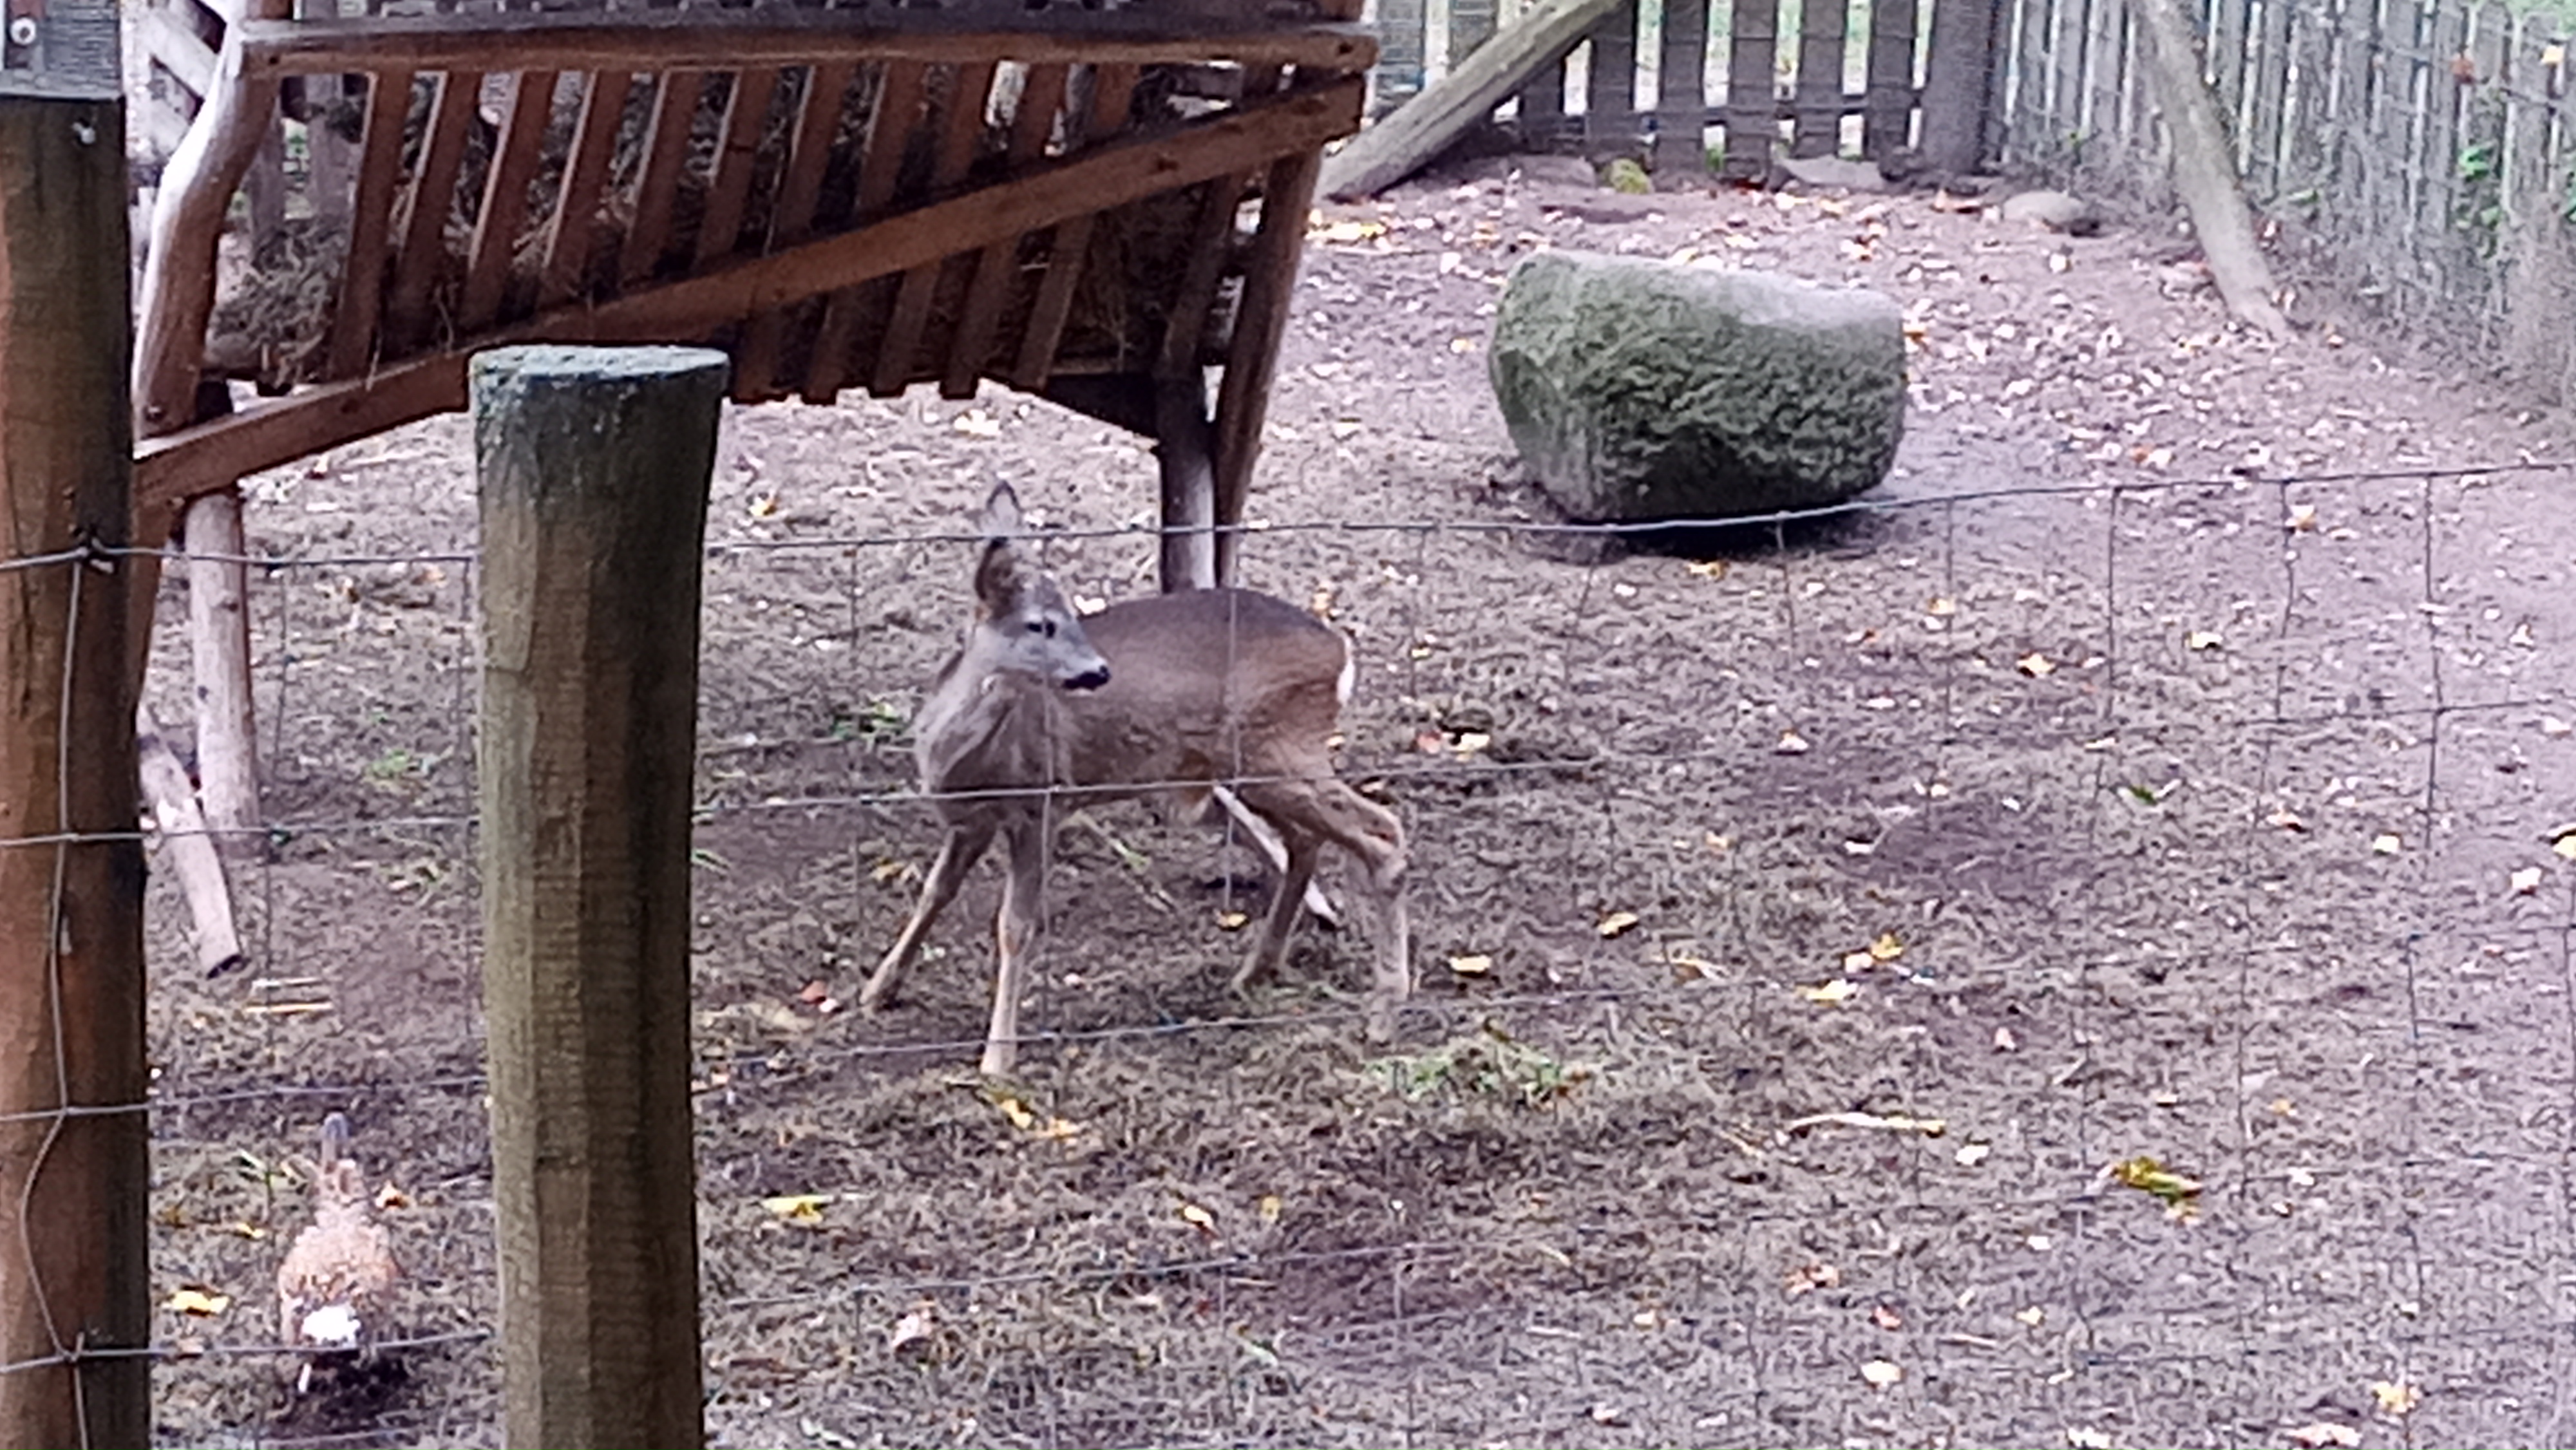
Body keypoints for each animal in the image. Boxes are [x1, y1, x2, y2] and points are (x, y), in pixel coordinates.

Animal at [861, 484, 1411, 1076]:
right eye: (1041, 624)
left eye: (1073, 616)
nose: (1100, 671)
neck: (964, 760)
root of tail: (1340, 652)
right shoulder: (973, 821)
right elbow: (934, 892)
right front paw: (877, 991)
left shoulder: (1042, 804)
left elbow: (1014, 926)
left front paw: (997, 1056)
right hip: (1255, 764)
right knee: (1307, 841)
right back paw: (1254, 973)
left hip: (1280, 749)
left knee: (1382, 832)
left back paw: (1384, 1013)